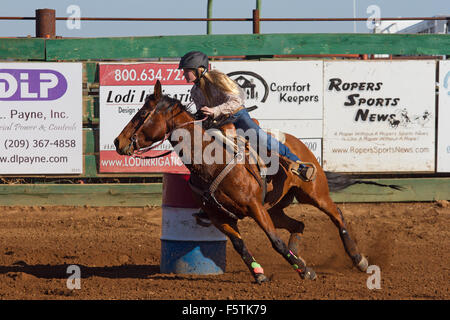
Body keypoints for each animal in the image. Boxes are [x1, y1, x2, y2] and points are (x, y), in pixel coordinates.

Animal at [113, 81, 400, 284]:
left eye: (142, 114)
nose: (118, 141)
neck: (210, 160)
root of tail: (299, 144)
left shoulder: (255, 207)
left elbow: (275, 241)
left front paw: (304, 272)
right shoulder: (220, 217)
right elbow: (240, 246)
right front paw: (260, 273)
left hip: (313, 194)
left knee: (337, 215)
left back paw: (358, 259)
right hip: (276, 207)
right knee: (299, 224)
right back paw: (298, 255)